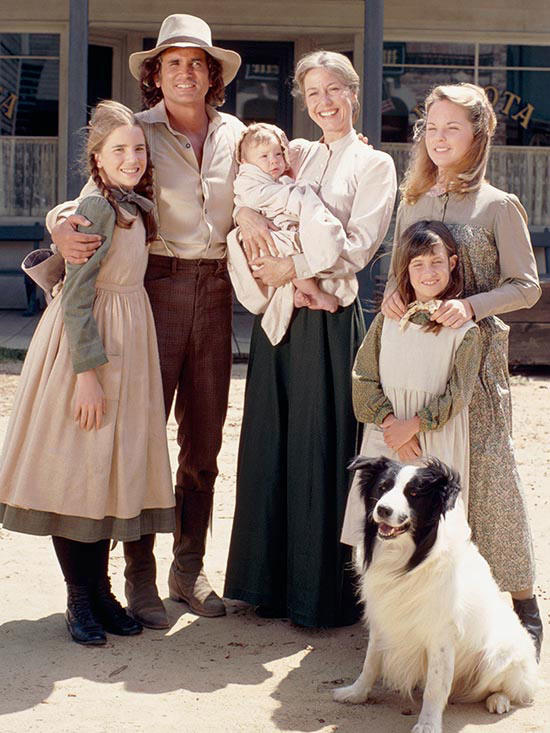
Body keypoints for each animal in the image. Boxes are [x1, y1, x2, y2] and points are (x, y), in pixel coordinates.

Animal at [336, 454, 540, 728]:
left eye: (413, 493)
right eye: (382, 488)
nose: (383, 510)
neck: (407, 560)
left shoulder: (441, 635)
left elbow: (435, 687)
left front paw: (428, 725)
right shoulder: (383, 619)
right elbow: (370, 663)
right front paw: (355, 694)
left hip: (499, 654)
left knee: (509, 687)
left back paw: (499, 700)